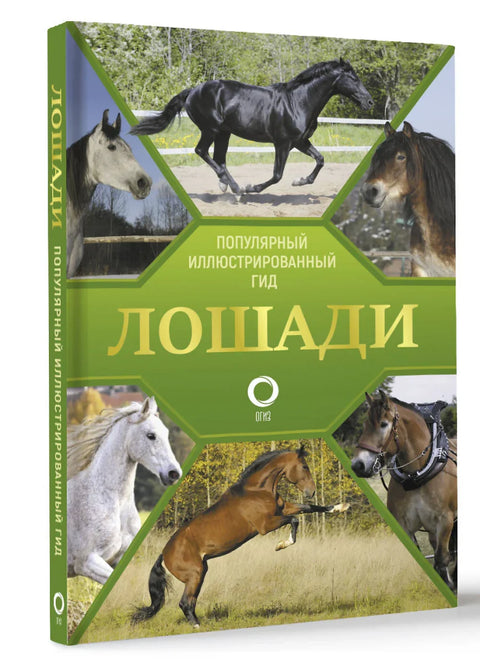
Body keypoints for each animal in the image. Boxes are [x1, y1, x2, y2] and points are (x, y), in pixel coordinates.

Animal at [130, 59, 373, 195]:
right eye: (353, 78)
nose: (369, 102)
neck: (298, 102)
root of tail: (193, 91)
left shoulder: (300, 141)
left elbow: (320, 160)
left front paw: (300, 181)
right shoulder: (283, 143)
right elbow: (277, 175)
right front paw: (252, 188)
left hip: (224, 133)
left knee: (219, 159)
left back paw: (228, 185)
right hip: (211, 129)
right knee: (202, 151)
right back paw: (237, 188)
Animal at [131, 444, 349, 628]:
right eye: (304, 466)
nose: (311, 491)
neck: (258, 490)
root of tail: (164, 554)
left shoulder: (284, 508)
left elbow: (310, 508)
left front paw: (341, 507)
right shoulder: (266, 525)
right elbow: (295, 520)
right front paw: (281, 545)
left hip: (201, 572)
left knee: (190, 602)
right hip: (195, 574)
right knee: (185, 603)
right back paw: (198, 626)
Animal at [350, 391, 457, 590]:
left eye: (384, 424)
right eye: (365, 424)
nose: (357, 465)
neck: (416, 475)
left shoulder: (445, 520)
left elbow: (441, 560)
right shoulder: (404, 524)